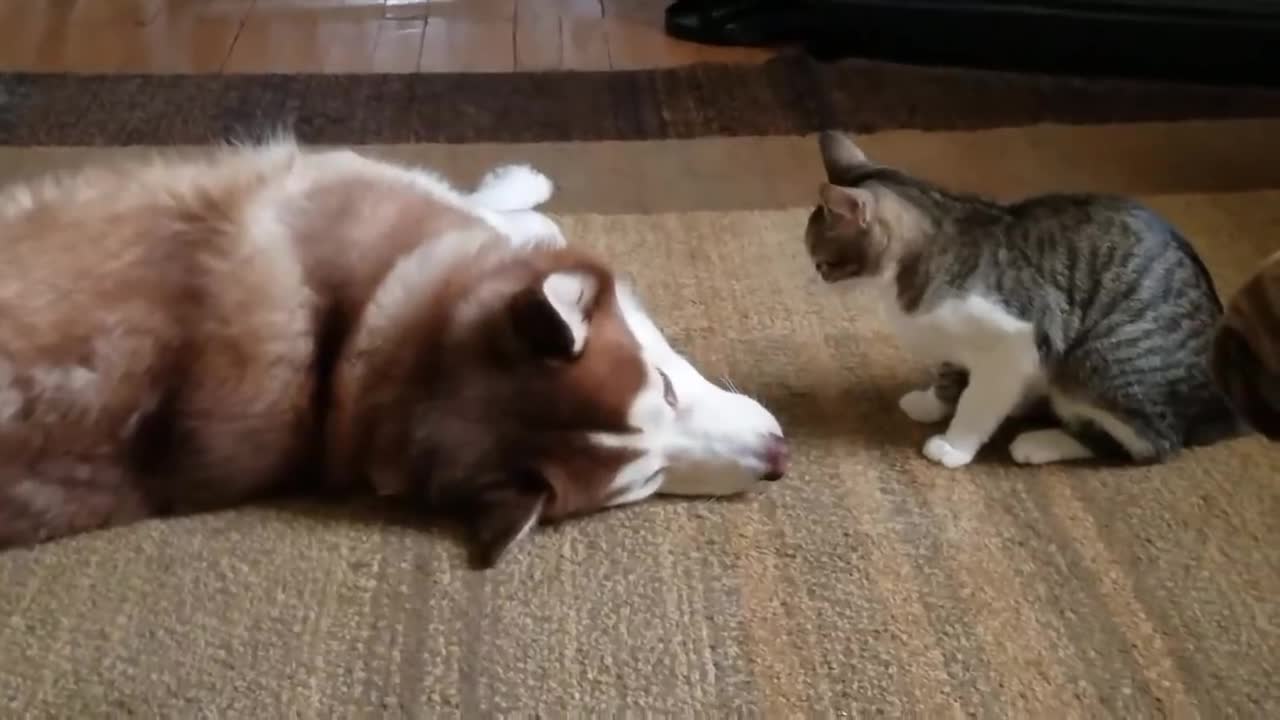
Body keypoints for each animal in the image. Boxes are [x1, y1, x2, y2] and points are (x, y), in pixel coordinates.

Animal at [803, 129, 1244, 468]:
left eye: (823, 262)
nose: (815, 279)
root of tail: (1222, 408)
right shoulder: (955, 341)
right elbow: (948, 373)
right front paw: (933, 403)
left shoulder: (1016, 341)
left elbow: (977, 402)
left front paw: (955, 445)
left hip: (1096, 364)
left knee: (1150, 444)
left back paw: (1041, 442)